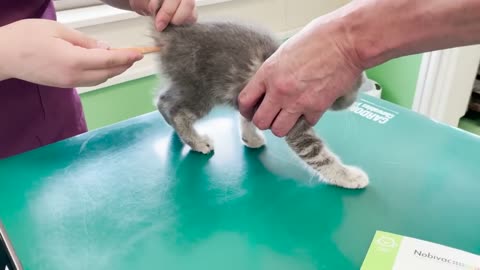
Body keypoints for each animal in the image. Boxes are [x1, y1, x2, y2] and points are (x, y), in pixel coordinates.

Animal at [152, 21, 370, 189]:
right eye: (351, 93)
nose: (352, 102)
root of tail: (173, 34)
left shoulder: (252, 98)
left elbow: (246, 117)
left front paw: (249, 137)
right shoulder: (292, 118)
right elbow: (318, 154)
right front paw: (348, 176)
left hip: (186, 87)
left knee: (162, 100)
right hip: (200, 92)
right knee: (177, 112)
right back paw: (196, 141)